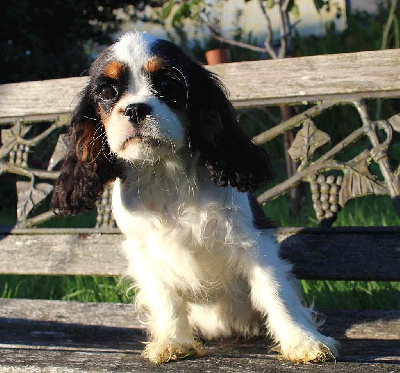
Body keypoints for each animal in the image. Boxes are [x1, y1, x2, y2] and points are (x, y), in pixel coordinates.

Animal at [50, 32, 338, 364]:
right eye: (108, 91)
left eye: (168, 84)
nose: (135, 109)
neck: (165, 173)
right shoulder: (145, 253)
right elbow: (165, 298)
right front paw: (173, 342)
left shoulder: (252, 241)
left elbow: (275, 291)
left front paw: (303, 342)